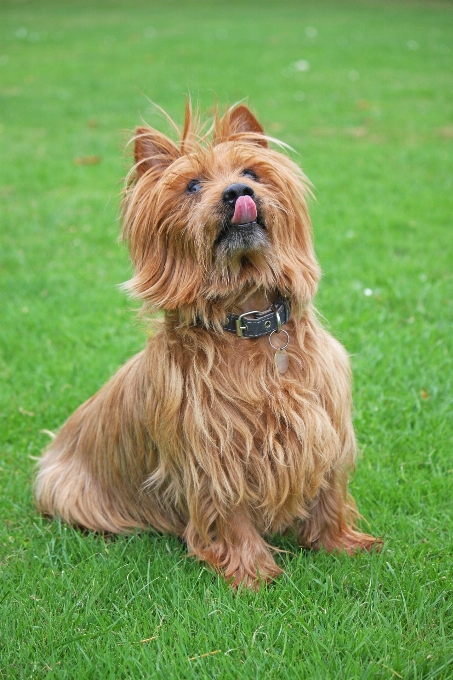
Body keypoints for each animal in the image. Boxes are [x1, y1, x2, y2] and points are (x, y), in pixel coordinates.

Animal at [35, 103, 380, 588]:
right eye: (192, 185)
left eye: (251, 171)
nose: (238, 191)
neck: (249, 319)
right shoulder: (215, 450)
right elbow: (230, 512)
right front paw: (252, 575)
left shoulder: (325, 423)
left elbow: (329, 492)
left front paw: (341, 544)